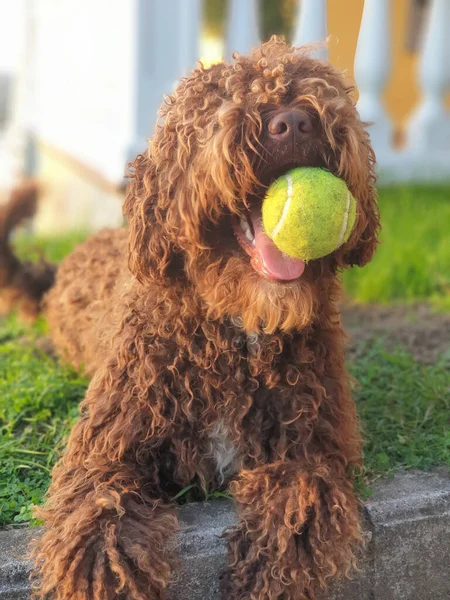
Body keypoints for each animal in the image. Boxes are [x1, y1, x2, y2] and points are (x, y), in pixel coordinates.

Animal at [0, 38, 380, 600]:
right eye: (215, 105)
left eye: (321, 87)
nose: (293, 122)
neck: (238, 330)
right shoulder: (105, 447)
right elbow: (97, 511)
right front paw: (104, 570)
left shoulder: (312, 445)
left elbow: (301, 497)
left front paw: (267, 572)